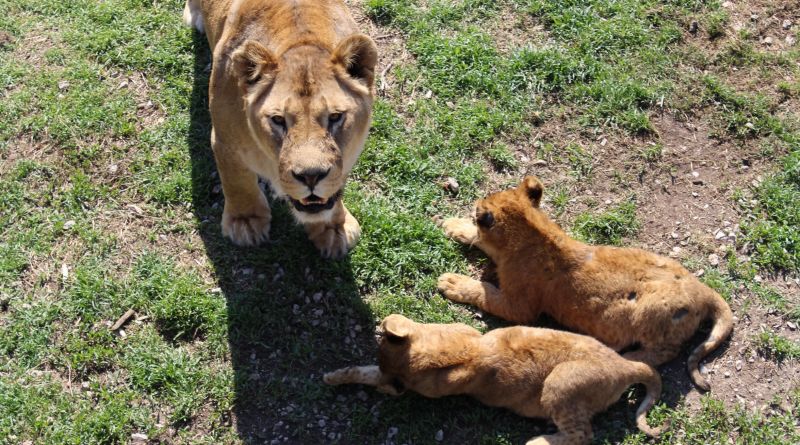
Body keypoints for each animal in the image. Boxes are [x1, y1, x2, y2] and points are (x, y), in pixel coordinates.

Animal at [184, 0, 378, 256]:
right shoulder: (225, 141)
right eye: (278, 120)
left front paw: (334, 228)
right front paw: (245, 222)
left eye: (335, 117)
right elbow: (237, 180)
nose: (311, 176)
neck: (299, 40)